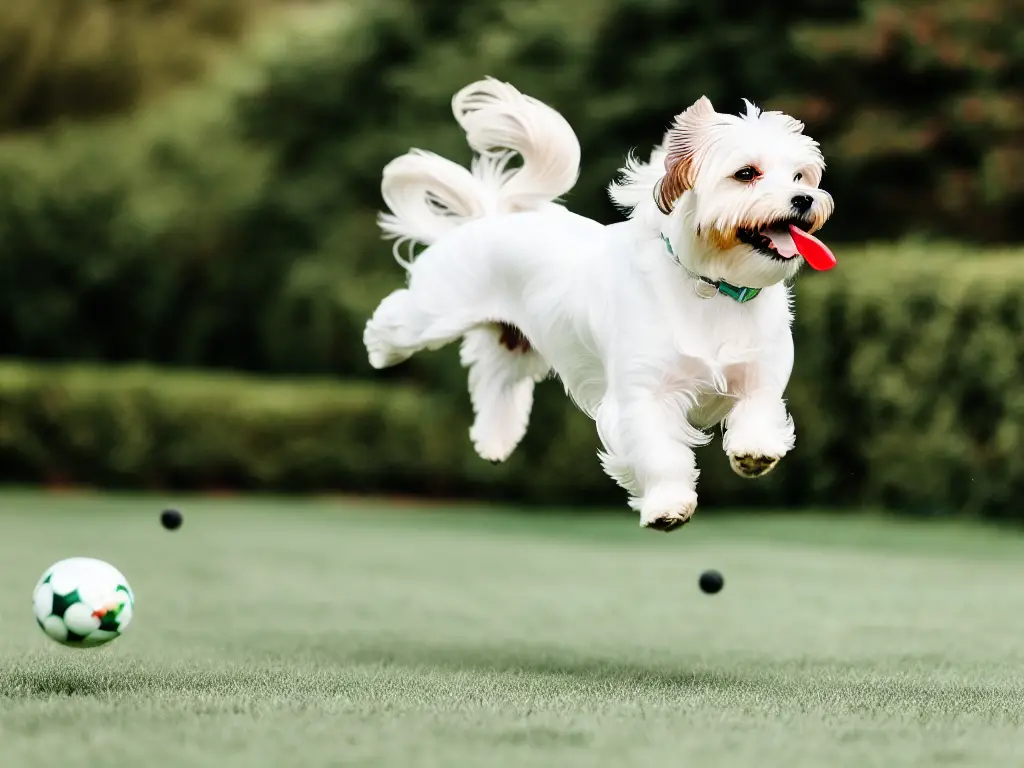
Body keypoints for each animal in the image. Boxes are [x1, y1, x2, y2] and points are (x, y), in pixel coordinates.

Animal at [364, 79, 835, 536]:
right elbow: (660, 454)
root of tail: (495, 216)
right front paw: (667, 506)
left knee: (496, 379)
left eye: (800, 175)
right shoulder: (641, 396)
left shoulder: (760, 375)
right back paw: (378, 346)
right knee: (399, 321)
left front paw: (755, 451)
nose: (805, 198)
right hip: (437, 311)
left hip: (516, 343)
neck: (712, 288)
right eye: (746, 174)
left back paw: (495, 441)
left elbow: (759, 412)